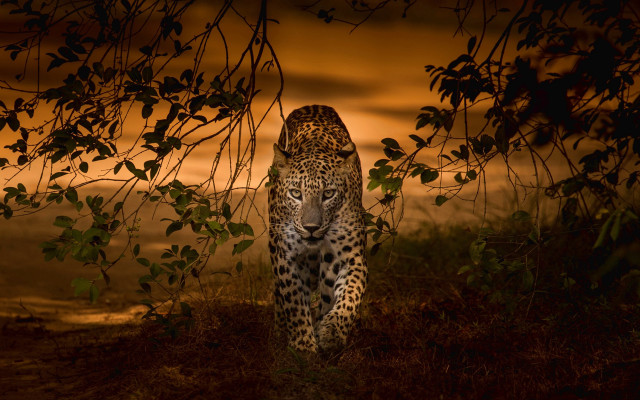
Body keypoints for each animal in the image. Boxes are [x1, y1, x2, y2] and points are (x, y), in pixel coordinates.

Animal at [268, 105, 368, 353]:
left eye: (328, 194)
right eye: (296, 193)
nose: (311, 227)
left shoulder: (350, 257)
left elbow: (349, 296)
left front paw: (331, 333)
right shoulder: (286, 257)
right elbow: (293, 299)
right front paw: (302, 344)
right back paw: (280, 330)